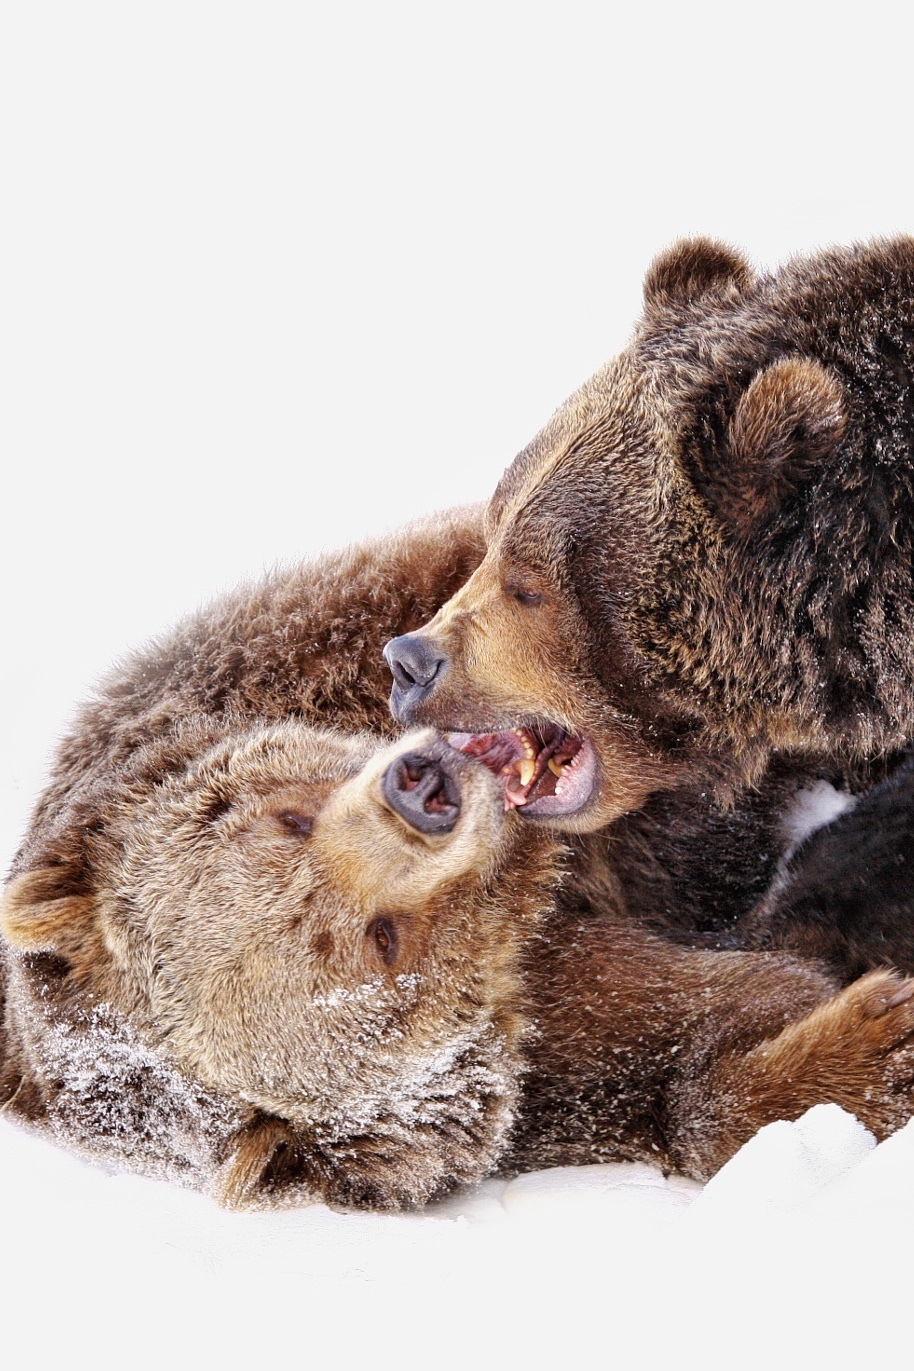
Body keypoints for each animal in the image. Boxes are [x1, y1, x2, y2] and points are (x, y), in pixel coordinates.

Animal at [5, 510, 914, 1206]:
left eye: (288, 821)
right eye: (382, 939)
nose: (425, 787)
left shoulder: (322, 629)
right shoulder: (549, 1076)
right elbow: (690, 1069)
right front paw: (874, 1033)